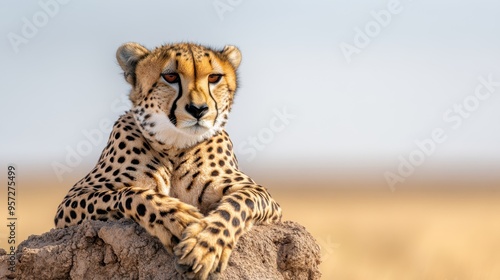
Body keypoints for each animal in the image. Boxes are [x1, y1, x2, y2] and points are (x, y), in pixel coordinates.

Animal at [55, 41, 282, 278]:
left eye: (214, 77)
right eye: (171, 77)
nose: (198, 109)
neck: (174, 144)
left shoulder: (260, 194)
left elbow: (240, 203)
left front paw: (204, 246)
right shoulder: (71, 201)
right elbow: (131, 193)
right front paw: (176, 218)